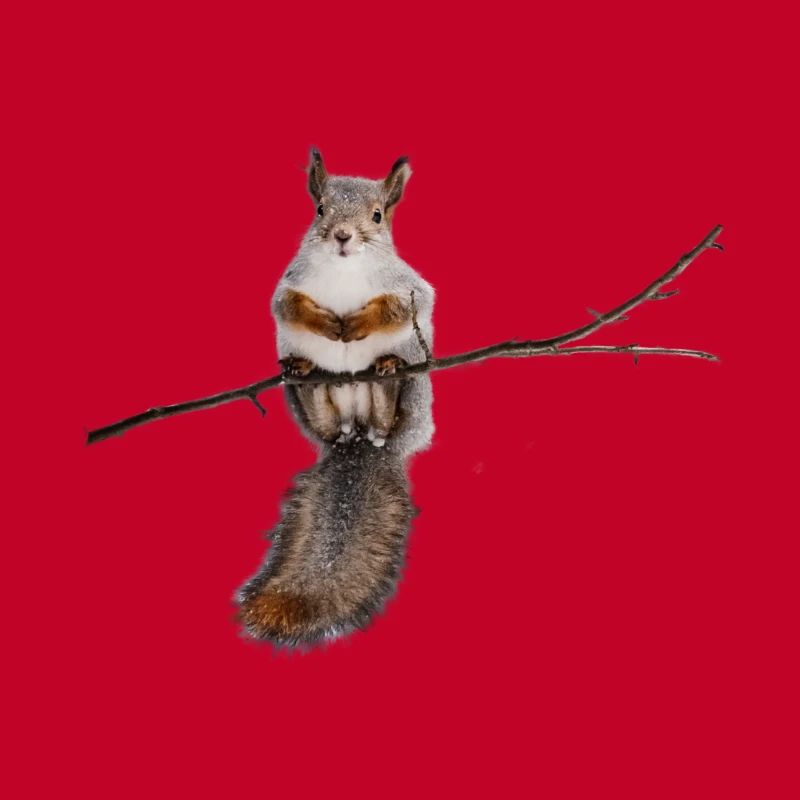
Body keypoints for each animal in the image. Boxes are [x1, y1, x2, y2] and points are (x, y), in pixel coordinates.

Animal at [236, 149, 435, 646]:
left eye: (378, 216)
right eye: (320, 209)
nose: (343, 236)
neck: (345, 270)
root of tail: (359, 437)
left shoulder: (411, 287)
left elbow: (404, 306)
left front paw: (358, 323)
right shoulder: (288, 285)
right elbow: (287, 306)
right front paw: (325, 323)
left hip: (413, 396)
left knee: (387, 412)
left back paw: (386, 373)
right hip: (307, 402)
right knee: (322, 409)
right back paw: (307, 373)